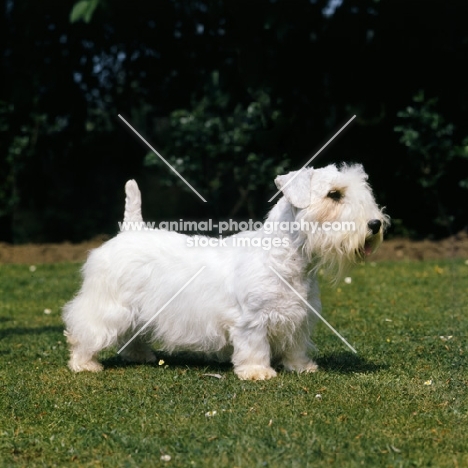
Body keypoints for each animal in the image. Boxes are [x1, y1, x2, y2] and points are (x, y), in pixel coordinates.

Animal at [64, 165, 390, 380]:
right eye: (334, 194)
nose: (375, 224)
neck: (287, 258)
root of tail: (130, 230)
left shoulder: (298, 316)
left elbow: (296, 345)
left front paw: (302, 367)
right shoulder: (252, 319)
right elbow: (254, 346)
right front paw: (258, 372)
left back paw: (140, 355)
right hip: (109, 306)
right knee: (86, 330)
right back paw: (84, 364)